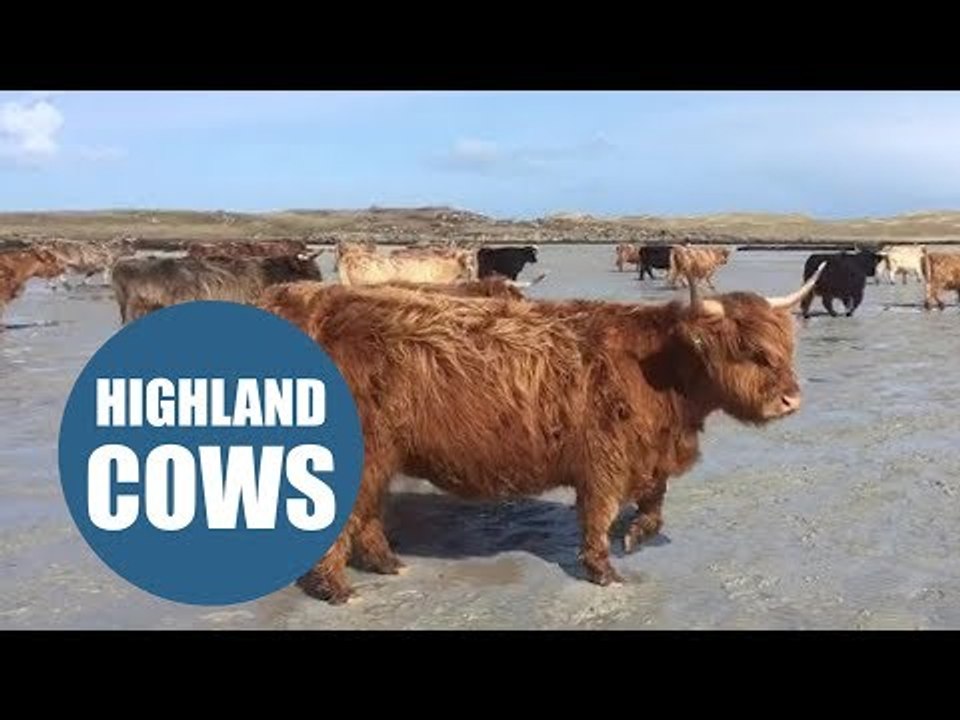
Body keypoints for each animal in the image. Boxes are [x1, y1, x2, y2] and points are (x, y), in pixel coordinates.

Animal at [260, 263, 826, 604]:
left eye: (785, 346)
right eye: (750, 351)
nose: (791, 400)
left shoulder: (648, 454)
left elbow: (654, 503)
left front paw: (635, 536)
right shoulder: (604, 459)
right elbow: (598, 516)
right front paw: (604, 571)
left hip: (384, 453)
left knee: (369, 512)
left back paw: (388, 565)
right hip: (364, 451)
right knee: (347, 514)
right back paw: (337, 588)